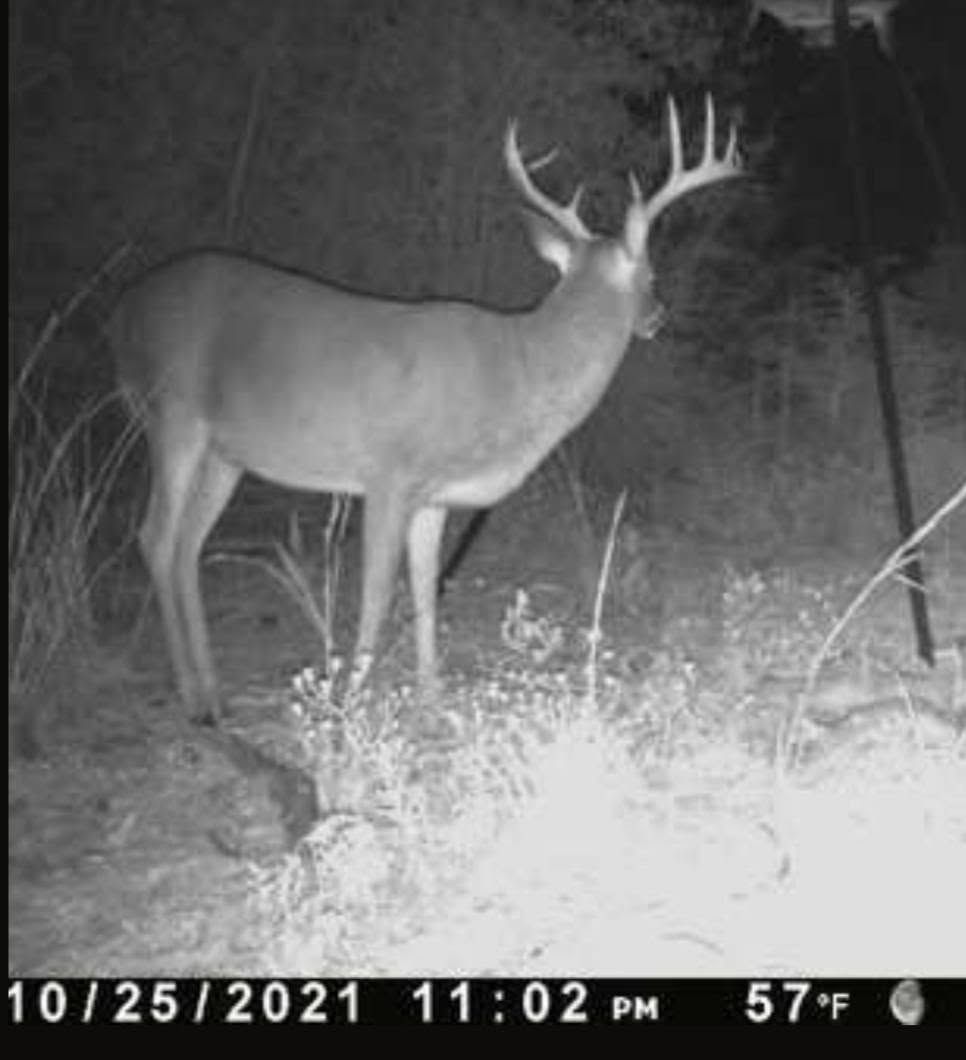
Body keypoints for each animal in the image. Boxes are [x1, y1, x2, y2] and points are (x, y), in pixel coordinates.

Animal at [108, 95, 741, 724]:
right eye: (652, 272)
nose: (658, 315)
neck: (518, 370)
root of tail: (125, 307)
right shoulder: (388, 472)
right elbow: (377, 594)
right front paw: (355, 704)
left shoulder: (435, 495)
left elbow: (425, 591)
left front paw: (432, 700)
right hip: (172, 412)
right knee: (156, 537)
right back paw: (192, 695)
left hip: (227, 453)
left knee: (187, 545)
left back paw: (212, 693)